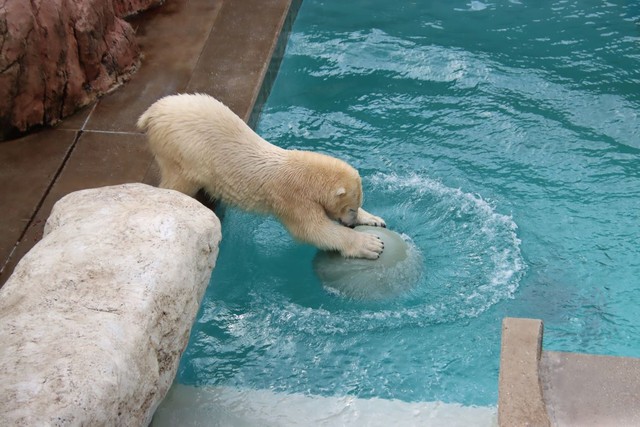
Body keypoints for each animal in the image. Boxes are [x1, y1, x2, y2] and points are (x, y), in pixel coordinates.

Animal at [136, 94, 384, 260]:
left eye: (356, 207)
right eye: (349, 208)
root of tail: (152, 111)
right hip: (182, 152)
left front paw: (374, 219)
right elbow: (314, 230)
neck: (304, 174)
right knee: (179, 181)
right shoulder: (292, 199)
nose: (351, 223)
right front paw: (371, 244)